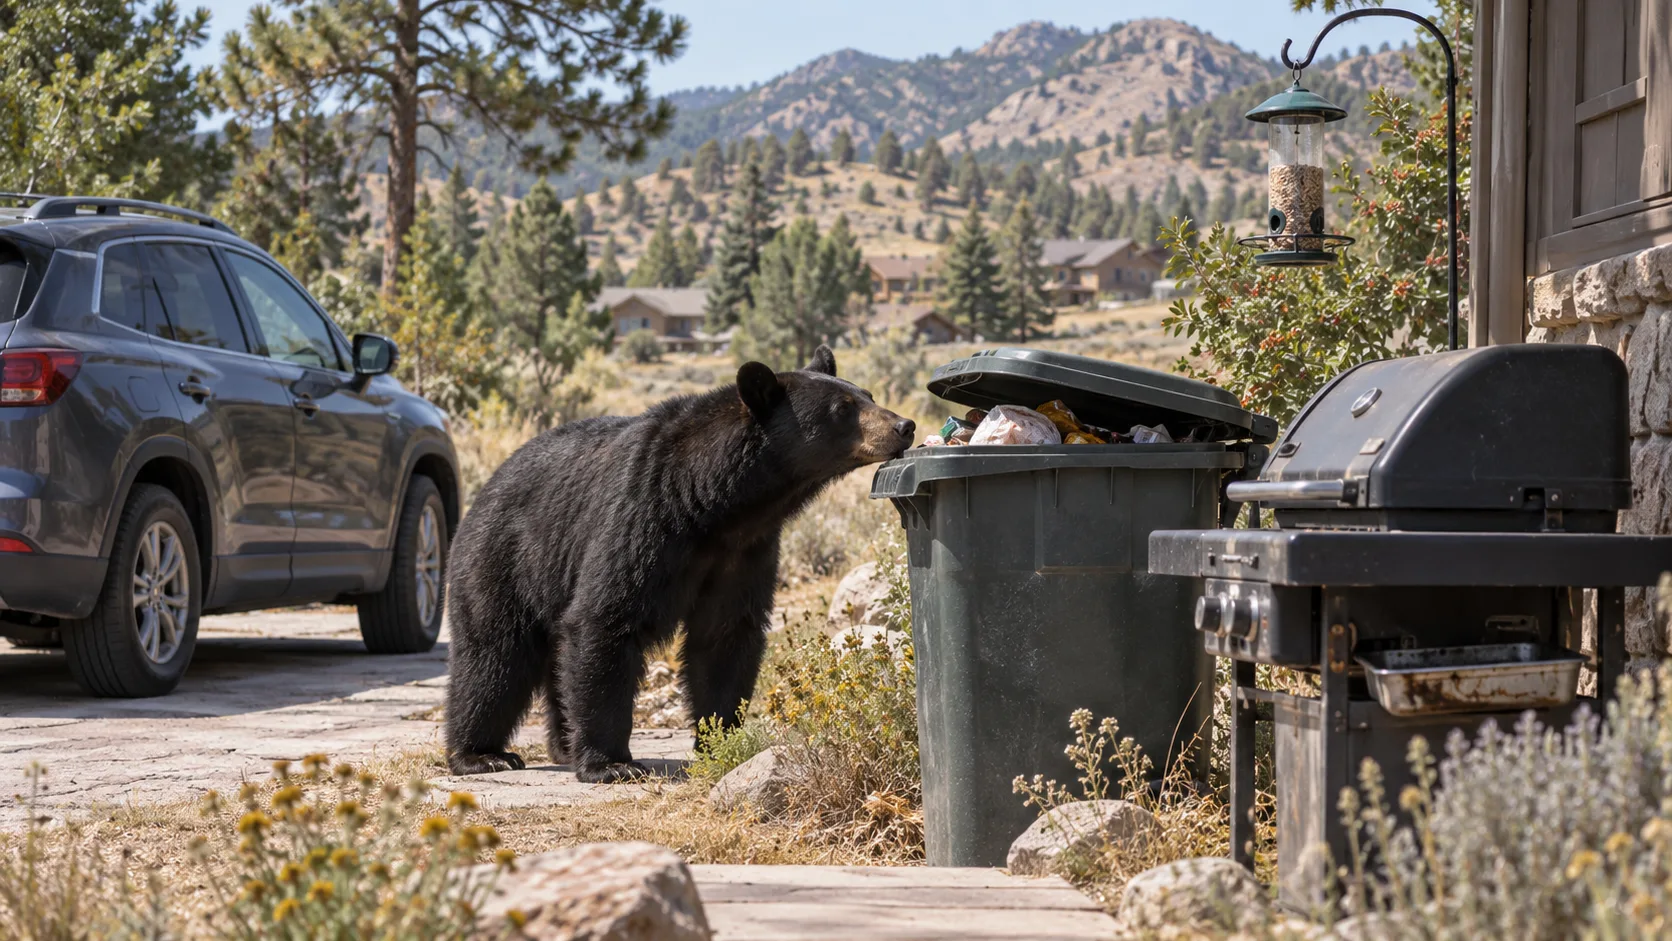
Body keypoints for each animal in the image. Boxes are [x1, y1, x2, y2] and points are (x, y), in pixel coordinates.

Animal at [443, 346, 916, 782]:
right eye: (843, 408)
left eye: (868, 394)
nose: (904, 426)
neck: (713, 504)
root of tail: (483, 491)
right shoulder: (641, 520)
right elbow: (606, 619)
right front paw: (611, 763)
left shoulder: (746, 552)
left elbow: (725, 637)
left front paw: (721, 740)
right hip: (503, 560)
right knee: (493, 656)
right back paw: (481, 754)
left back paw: (561, 746)